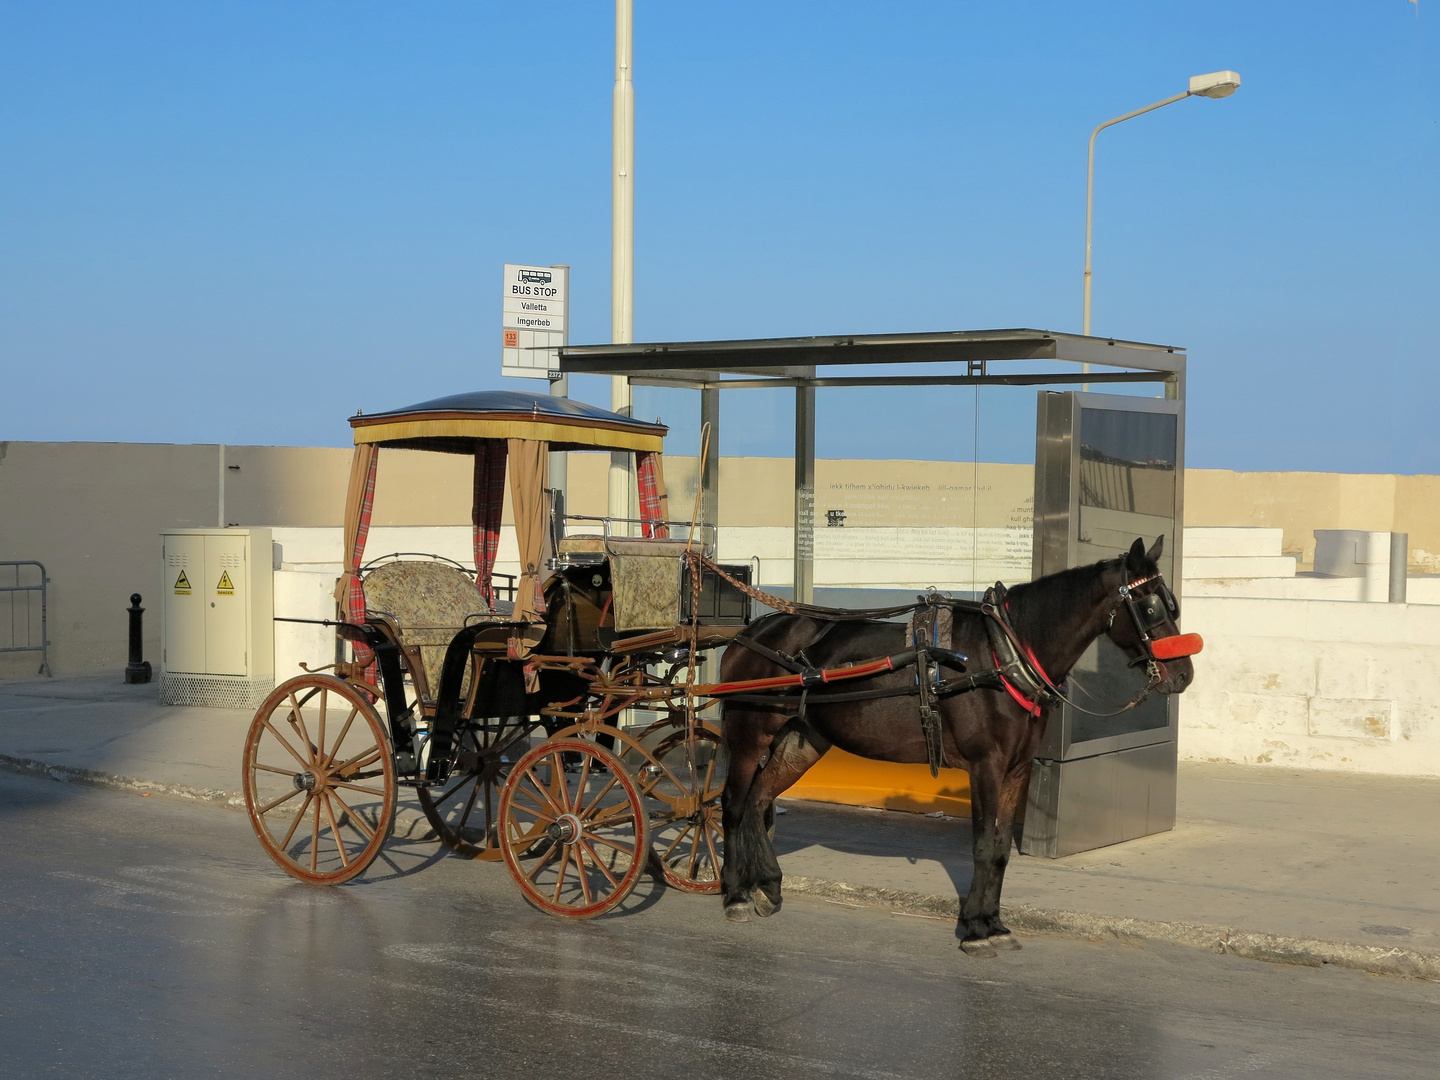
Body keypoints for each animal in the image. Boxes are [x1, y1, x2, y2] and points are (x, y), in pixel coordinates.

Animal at [720, 535, 1203, 956]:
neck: (1005, 654)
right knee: (735, 805)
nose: (1183, 674)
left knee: (760, 798)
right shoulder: (986, 764)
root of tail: (754, 630)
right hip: (748, 732)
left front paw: (994, 923)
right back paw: (734, 892)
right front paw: (974, 929)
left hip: (803, 739)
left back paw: (767, 884)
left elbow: (1002, 849)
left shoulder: (1018, 768)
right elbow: (984, 845)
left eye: (1171, 603)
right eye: (1150, 606)